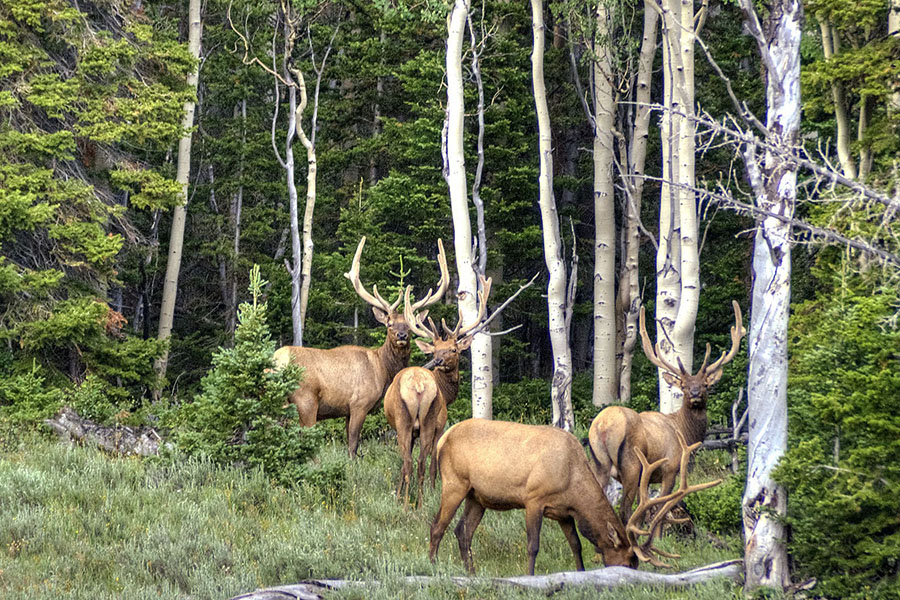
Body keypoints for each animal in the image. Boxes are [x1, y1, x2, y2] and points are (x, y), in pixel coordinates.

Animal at [273, 237, 449, 458]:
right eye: (389, 323)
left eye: (409, 325)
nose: (401, 335)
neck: (382, 369)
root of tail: (276, 362)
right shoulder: (359, 403)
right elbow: (353, 444)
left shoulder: (347, 410)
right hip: (306, 400)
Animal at [383, 277, 494, 508]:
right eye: (434, 350)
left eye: (453, 349)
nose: (439, 360)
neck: (446, 392)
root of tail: (418, 385)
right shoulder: (439, 424)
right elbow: (432, 463)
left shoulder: (433, 426)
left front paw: (402, 495)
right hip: (420, 420)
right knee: (416, 461)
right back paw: (414, 503)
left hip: (411, 422)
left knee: (412, 461)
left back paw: (411, 504)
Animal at [428, 418, 720, 575]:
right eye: (629, 562)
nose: (630, 575)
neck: (572, 480)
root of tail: (442, 439)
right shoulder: (534, 499)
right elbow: (532, 545)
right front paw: (529, 576)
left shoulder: (564, 513)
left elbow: (576, 545)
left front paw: (581, 573)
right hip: (454, 482)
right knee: (437, 527)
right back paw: (433, 566)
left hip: (478, 497)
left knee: (462, 531)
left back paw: (472, 572)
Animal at [587, 300, 745, 522]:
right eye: (684, 386)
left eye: (705, 384)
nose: (695, 393)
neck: (685, 433)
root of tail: (602, 426)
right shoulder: (670, 469)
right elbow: (659, 514)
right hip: (631, 466)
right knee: (624, 511)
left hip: (599, 464)